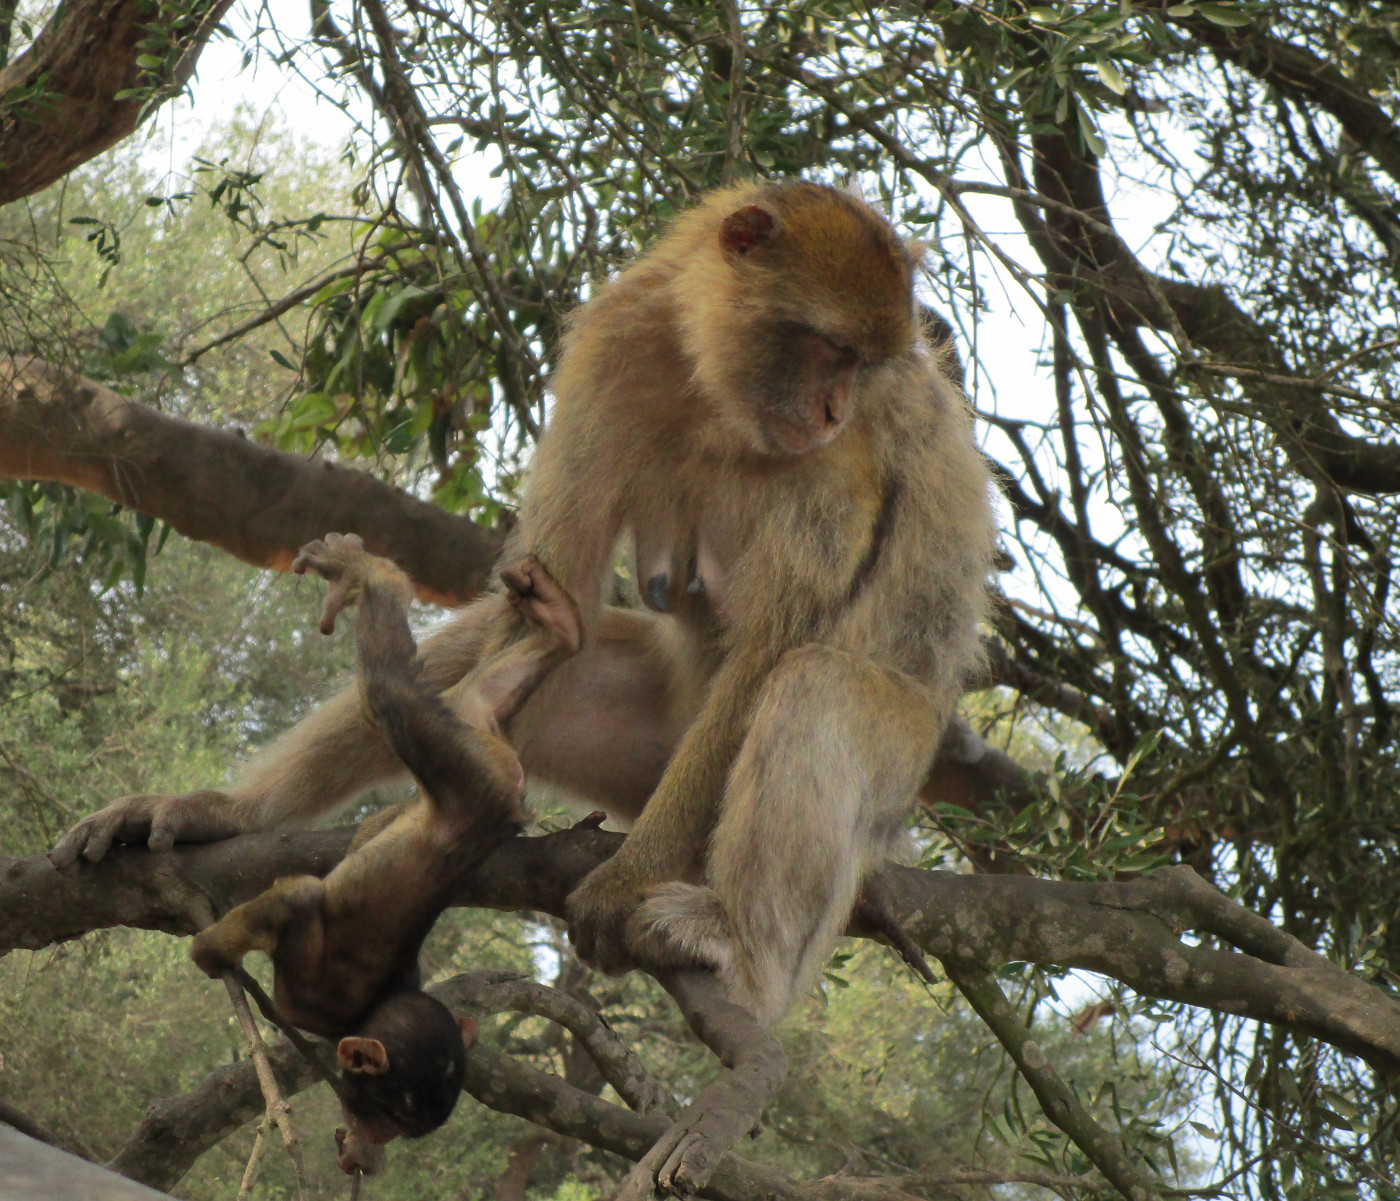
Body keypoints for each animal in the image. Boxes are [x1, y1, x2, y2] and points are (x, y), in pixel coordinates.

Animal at [191, 531, 579, 1170]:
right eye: (391, 1116)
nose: (375, 1138)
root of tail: (508, 780)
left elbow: (321, 878)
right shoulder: (309, 999)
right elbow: (296, 898)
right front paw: (210, 950)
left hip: (469, 734)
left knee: (456, 692)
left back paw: (559, 627)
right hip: (469, 767)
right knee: (388, 690)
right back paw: (374, 576)